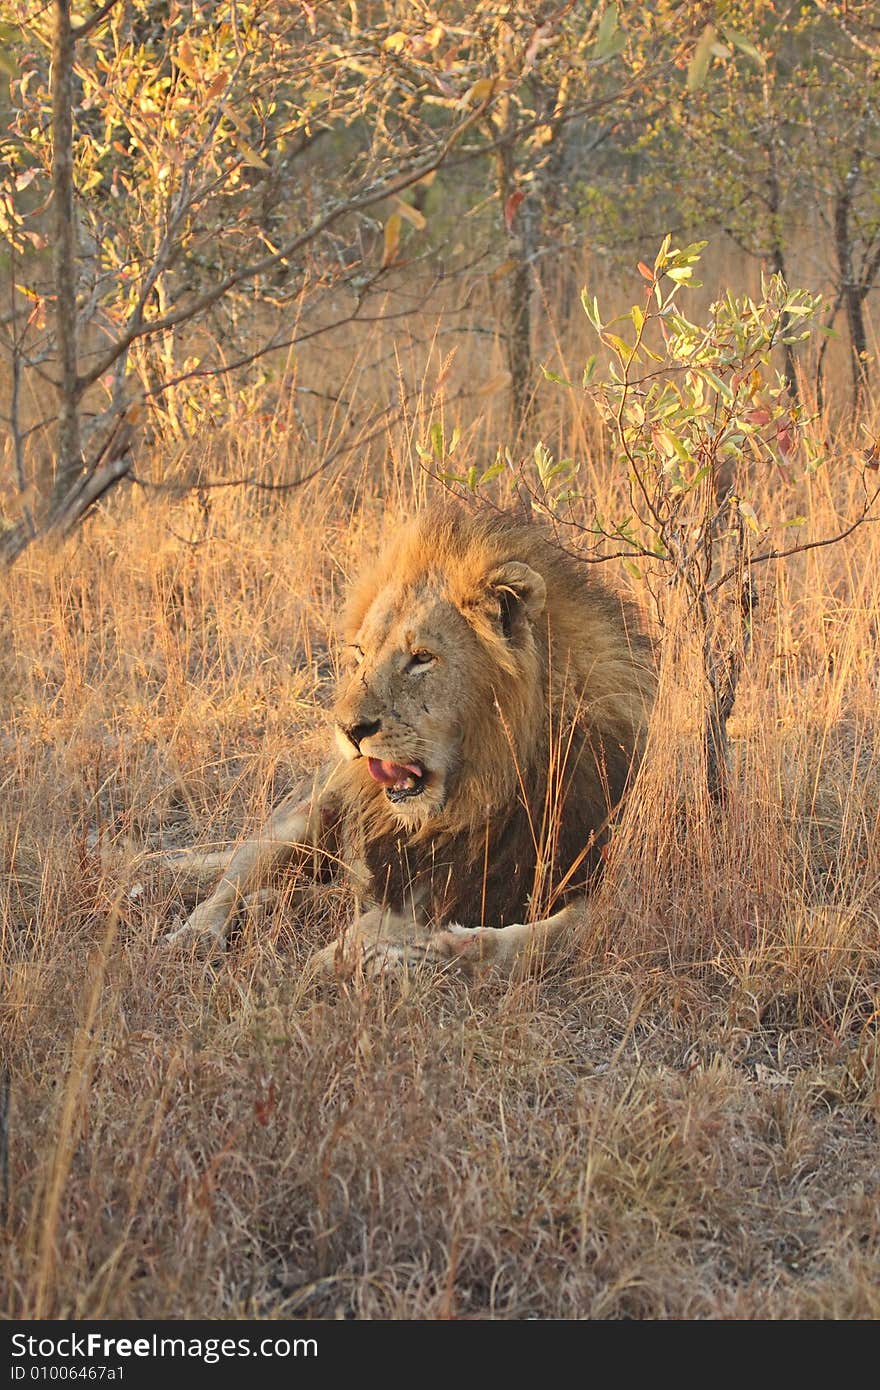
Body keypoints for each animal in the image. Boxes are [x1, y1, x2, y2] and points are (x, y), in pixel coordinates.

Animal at [168, 503, 656, 978]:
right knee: (235, 879)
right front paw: (374, 953)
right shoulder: (422, 874)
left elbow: (539, 940)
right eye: (361, 653)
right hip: (304, 816)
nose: (347, 730)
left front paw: (417, 951)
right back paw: (198, 934)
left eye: (421, 658)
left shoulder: (596, 877)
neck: (493, 790)